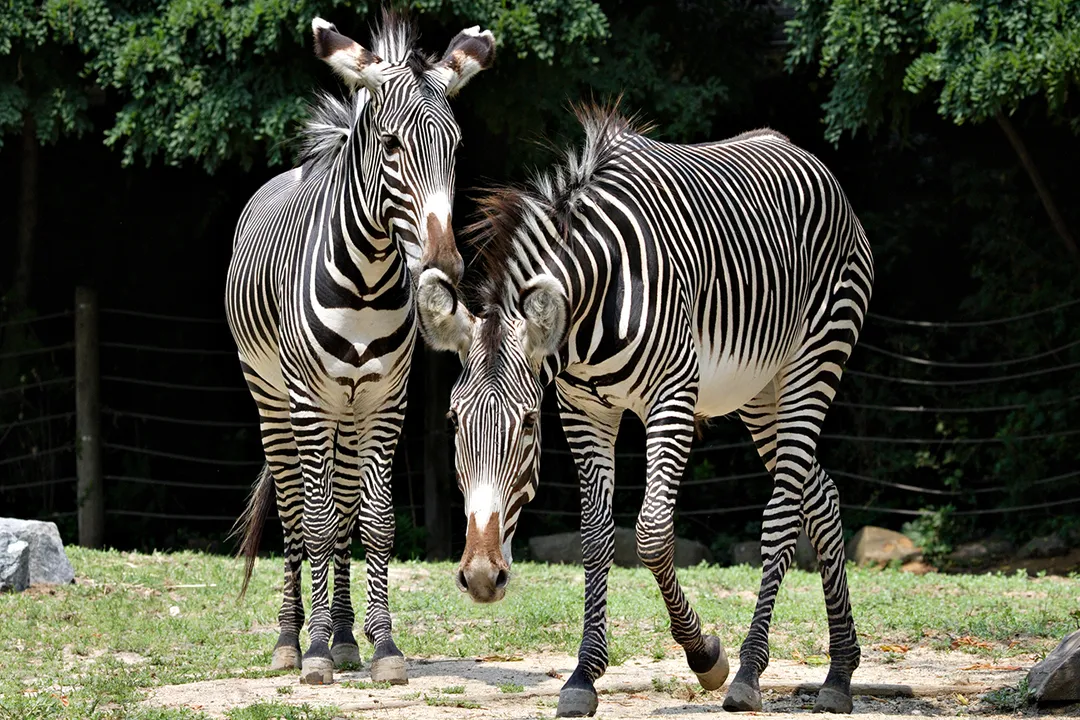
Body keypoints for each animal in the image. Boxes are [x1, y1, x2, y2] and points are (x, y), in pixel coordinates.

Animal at [225, 10, 494, 686]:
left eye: (455, 146)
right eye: (392, 144)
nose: (446, 265)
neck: (368, 282)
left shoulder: (385, 404)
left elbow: (372, 520)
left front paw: (382, 646)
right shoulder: (309, 402)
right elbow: (316, 521)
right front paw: (315, 651)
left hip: (349, 412)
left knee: (344, 503)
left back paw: (347, 636)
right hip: (273, 400)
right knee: (296, 509)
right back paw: (293, 640)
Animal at [417, 102, 873, 716]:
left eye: (530, 423)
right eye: (453, 422)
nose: (484, 579)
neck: (591, 305)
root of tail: (803, 155)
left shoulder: (672, 398)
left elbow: (653, 533)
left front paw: (706, 656)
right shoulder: (584, 409)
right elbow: (595, 538)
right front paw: (582, 676)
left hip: (814, 361)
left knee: (782, 515)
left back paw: (750, 672)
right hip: (761, 392)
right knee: (819, 495)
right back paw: (839, 674)